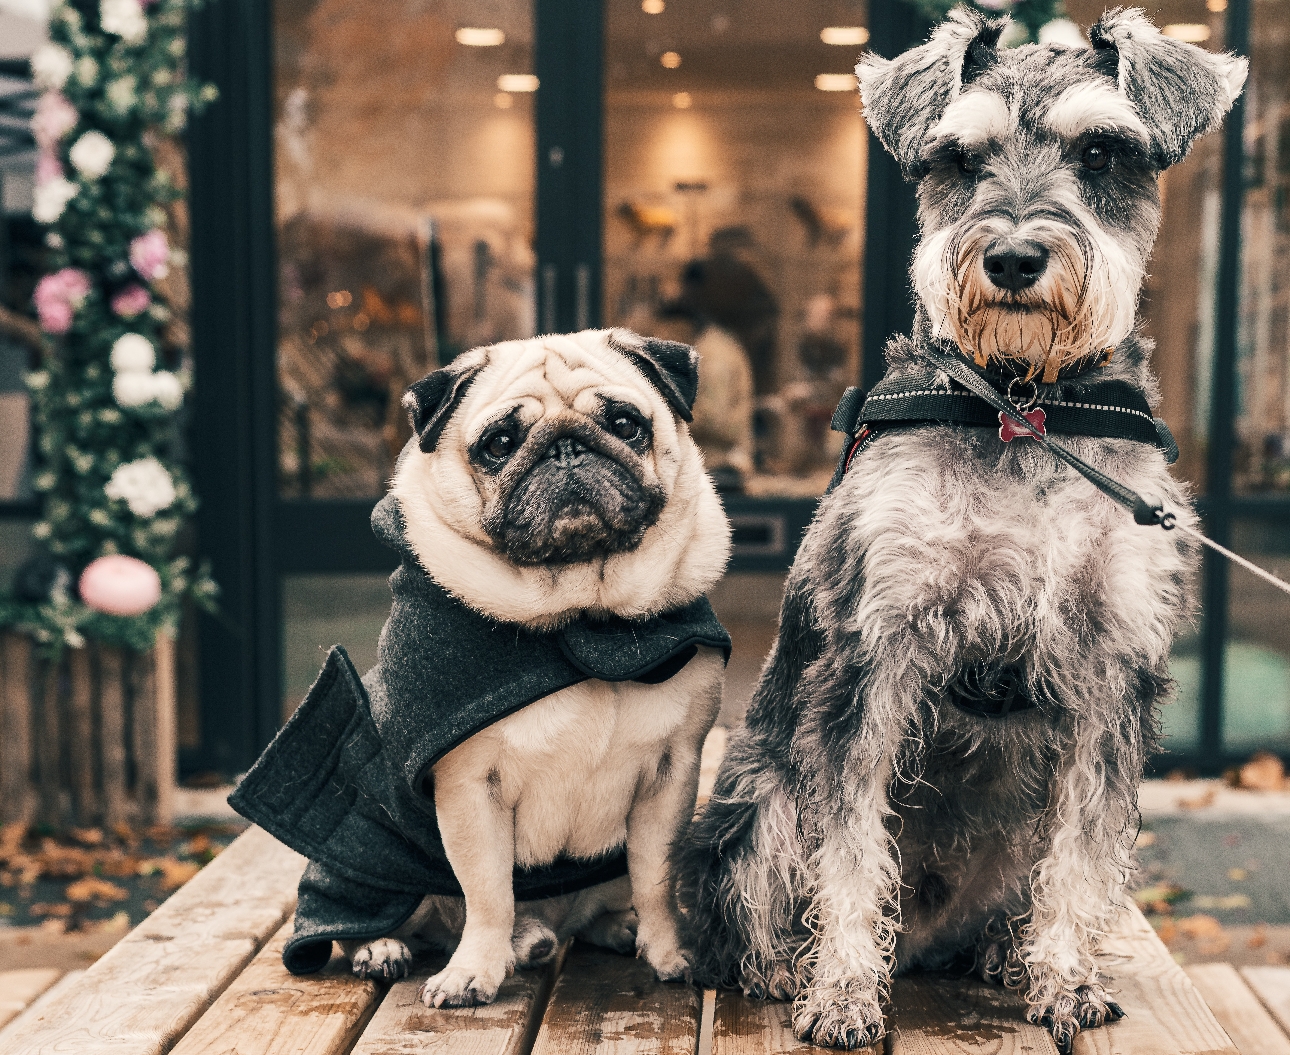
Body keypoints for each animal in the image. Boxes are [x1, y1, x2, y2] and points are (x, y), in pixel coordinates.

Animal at [681, 6, 1243, 1042]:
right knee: (758, 889)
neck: (1024, 408)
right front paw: (842, 990)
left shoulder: (1114, 667)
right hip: (762, 789)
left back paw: (1003, 951)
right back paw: (782, 966)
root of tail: (928, 936)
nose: (1014, 258)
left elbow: (1084, 854)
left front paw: (1065, 978)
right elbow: (851, 849)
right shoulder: (874, 651)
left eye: (1101, 151)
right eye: (959, 157)